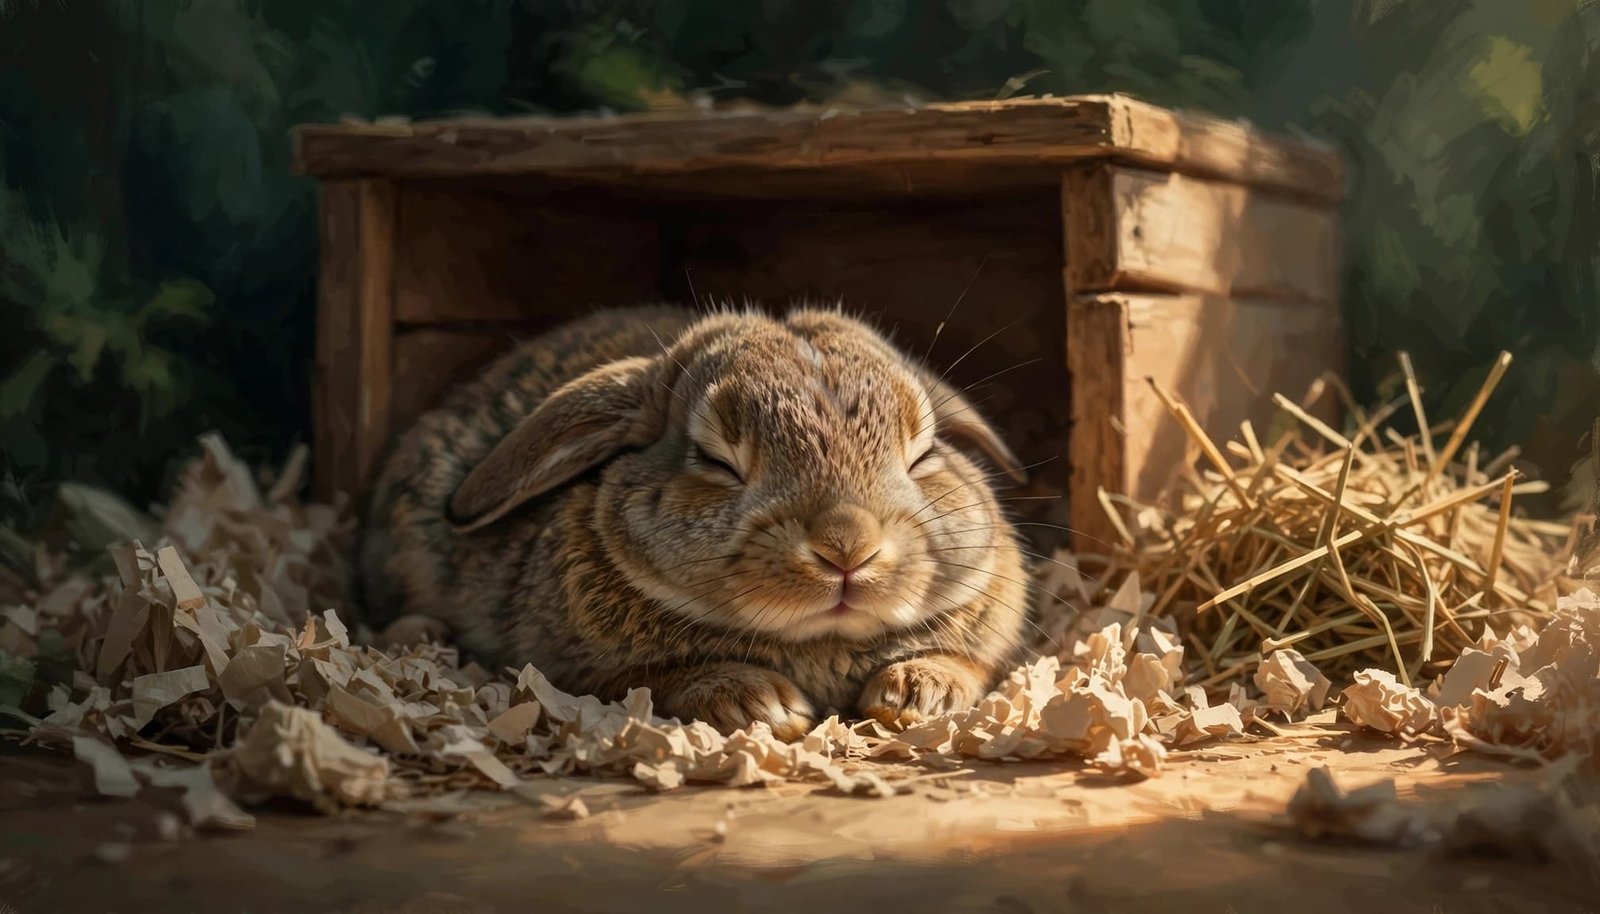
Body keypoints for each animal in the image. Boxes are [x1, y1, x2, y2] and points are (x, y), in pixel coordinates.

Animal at [358, 303, 1031, 740]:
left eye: (924, 454)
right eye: (715, 460)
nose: (847, 547)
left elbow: (970, 663)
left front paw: (917, 693)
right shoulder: (589, 673)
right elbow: (656, 680)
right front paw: (761, 704)